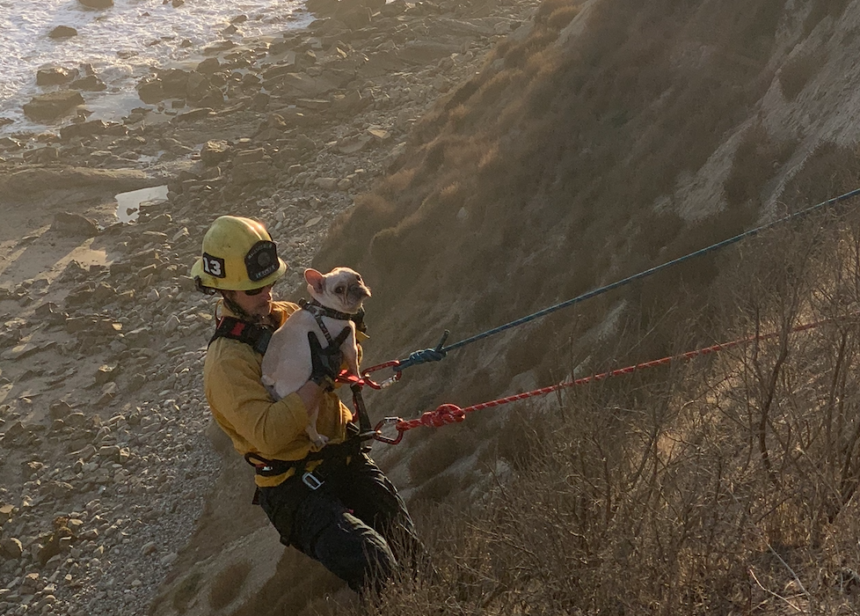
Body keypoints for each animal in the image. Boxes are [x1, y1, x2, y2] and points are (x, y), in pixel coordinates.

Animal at [260, 268, 372, 446]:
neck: (324, 308)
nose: (356, 287)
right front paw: (359, 379)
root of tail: (270, 378)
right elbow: (354, 365)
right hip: (307, 404)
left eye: (358, 277)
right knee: (309, 427)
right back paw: (318, 439)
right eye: (339, 289)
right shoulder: (348, 344)